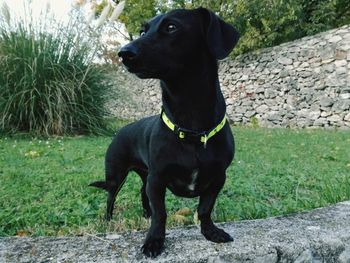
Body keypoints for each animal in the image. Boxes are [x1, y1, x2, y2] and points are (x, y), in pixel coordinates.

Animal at [89, 7, 239, 258]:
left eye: (171, 27)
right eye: (143, 31)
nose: (124, 53)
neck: (191, 128)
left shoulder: (218, 177)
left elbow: (205, 208)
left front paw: (210, 232)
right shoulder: (157, 179)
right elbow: (161, 214)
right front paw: (154, 241)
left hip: (144, 175)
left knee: (141, 192)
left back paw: (144, 213)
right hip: (117, 175)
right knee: (111, 197)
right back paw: (108, 219)